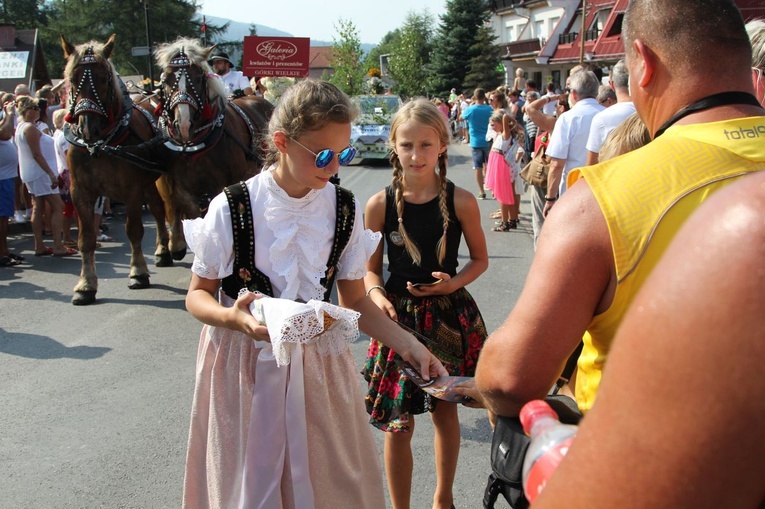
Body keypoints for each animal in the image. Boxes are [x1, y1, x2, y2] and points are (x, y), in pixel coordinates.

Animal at [62, 36, 172, 306]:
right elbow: (86, 238)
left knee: (163, 209)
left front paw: (138, 272)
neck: (101, 144)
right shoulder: (80, 192)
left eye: (103, 78)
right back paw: (163, 250)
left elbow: (133, 230)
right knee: (157, 209)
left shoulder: (131, 190)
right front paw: (85, 285)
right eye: (72, 78)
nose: (87, 127)